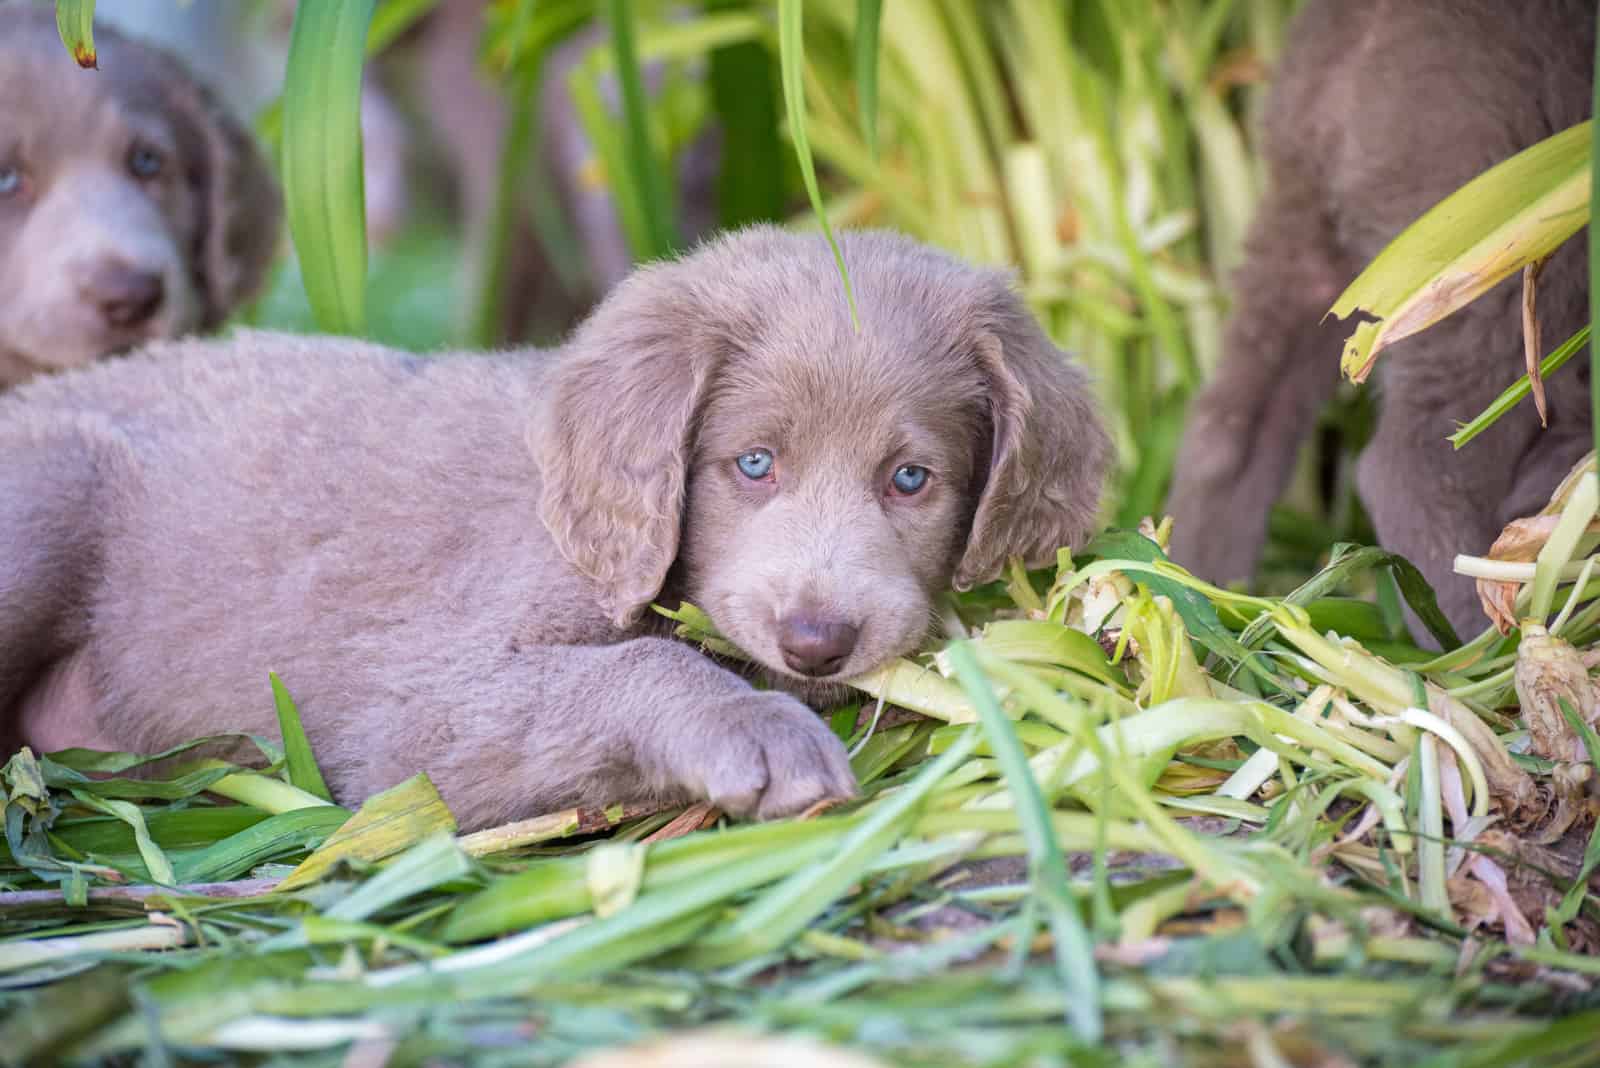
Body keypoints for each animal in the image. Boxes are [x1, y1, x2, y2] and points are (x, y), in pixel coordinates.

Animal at [0, 230, 1113, 831]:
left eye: (910, 479)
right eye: (753, 465)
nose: (816, 640)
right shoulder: (411, 723)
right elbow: (633, 668)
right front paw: (758, 733)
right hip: (50, 494)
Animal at [1164, 0, 1600, 633]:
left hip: (1306, 230)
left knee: (1223, 432)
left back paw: (1201, 590)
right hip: (1486, 254)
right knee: (1407, 468)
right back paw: (1474, 641)